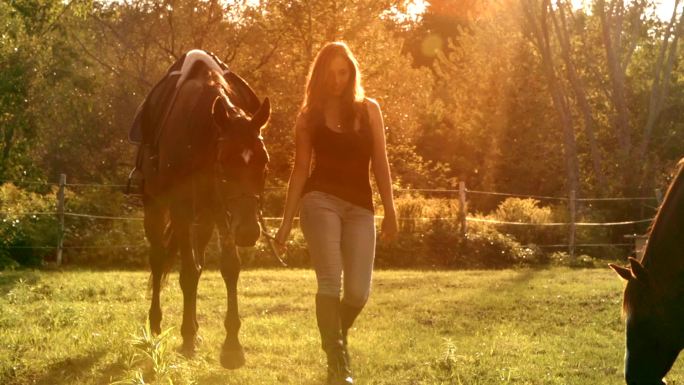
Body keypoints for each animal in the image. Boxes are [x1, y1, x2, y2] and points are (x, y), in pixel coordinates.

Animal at [140, 55, 270, 368]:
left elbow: (229, 267)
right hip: (155, 207)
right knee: (158, 260)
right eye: (224, 161)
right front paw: (186, 337)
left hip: (206, 219)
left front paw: (232, 345)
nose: (249, 231)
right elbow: (186, 271)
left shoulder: (221, 213)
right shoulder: (182, 209)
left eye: (264, 162)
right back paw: (156, 326)